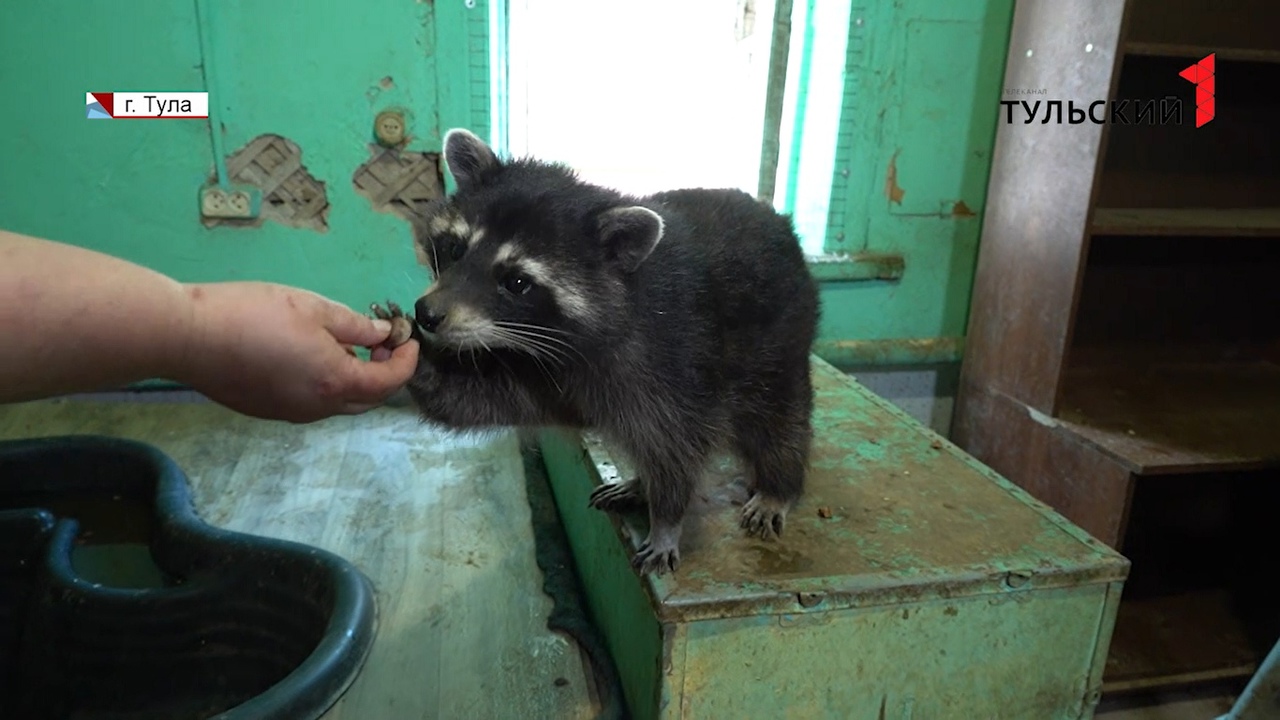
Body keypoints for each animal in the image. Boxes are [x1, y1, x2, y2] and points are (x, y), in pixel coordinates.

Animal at [376, 124, 819, 571]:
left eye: (517, 282)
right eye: (455, 249)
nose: (427, 314)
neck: (564, 344)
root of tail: (774, 216)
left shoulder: (675, 364)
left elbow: (677, 448)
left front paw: (667, 521)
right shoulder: (540, 370)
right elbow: (475, 399)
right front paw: (411, 350)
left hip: (781, 342)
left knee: (778, 422)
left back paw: (779, 484)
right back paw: (641, 482)